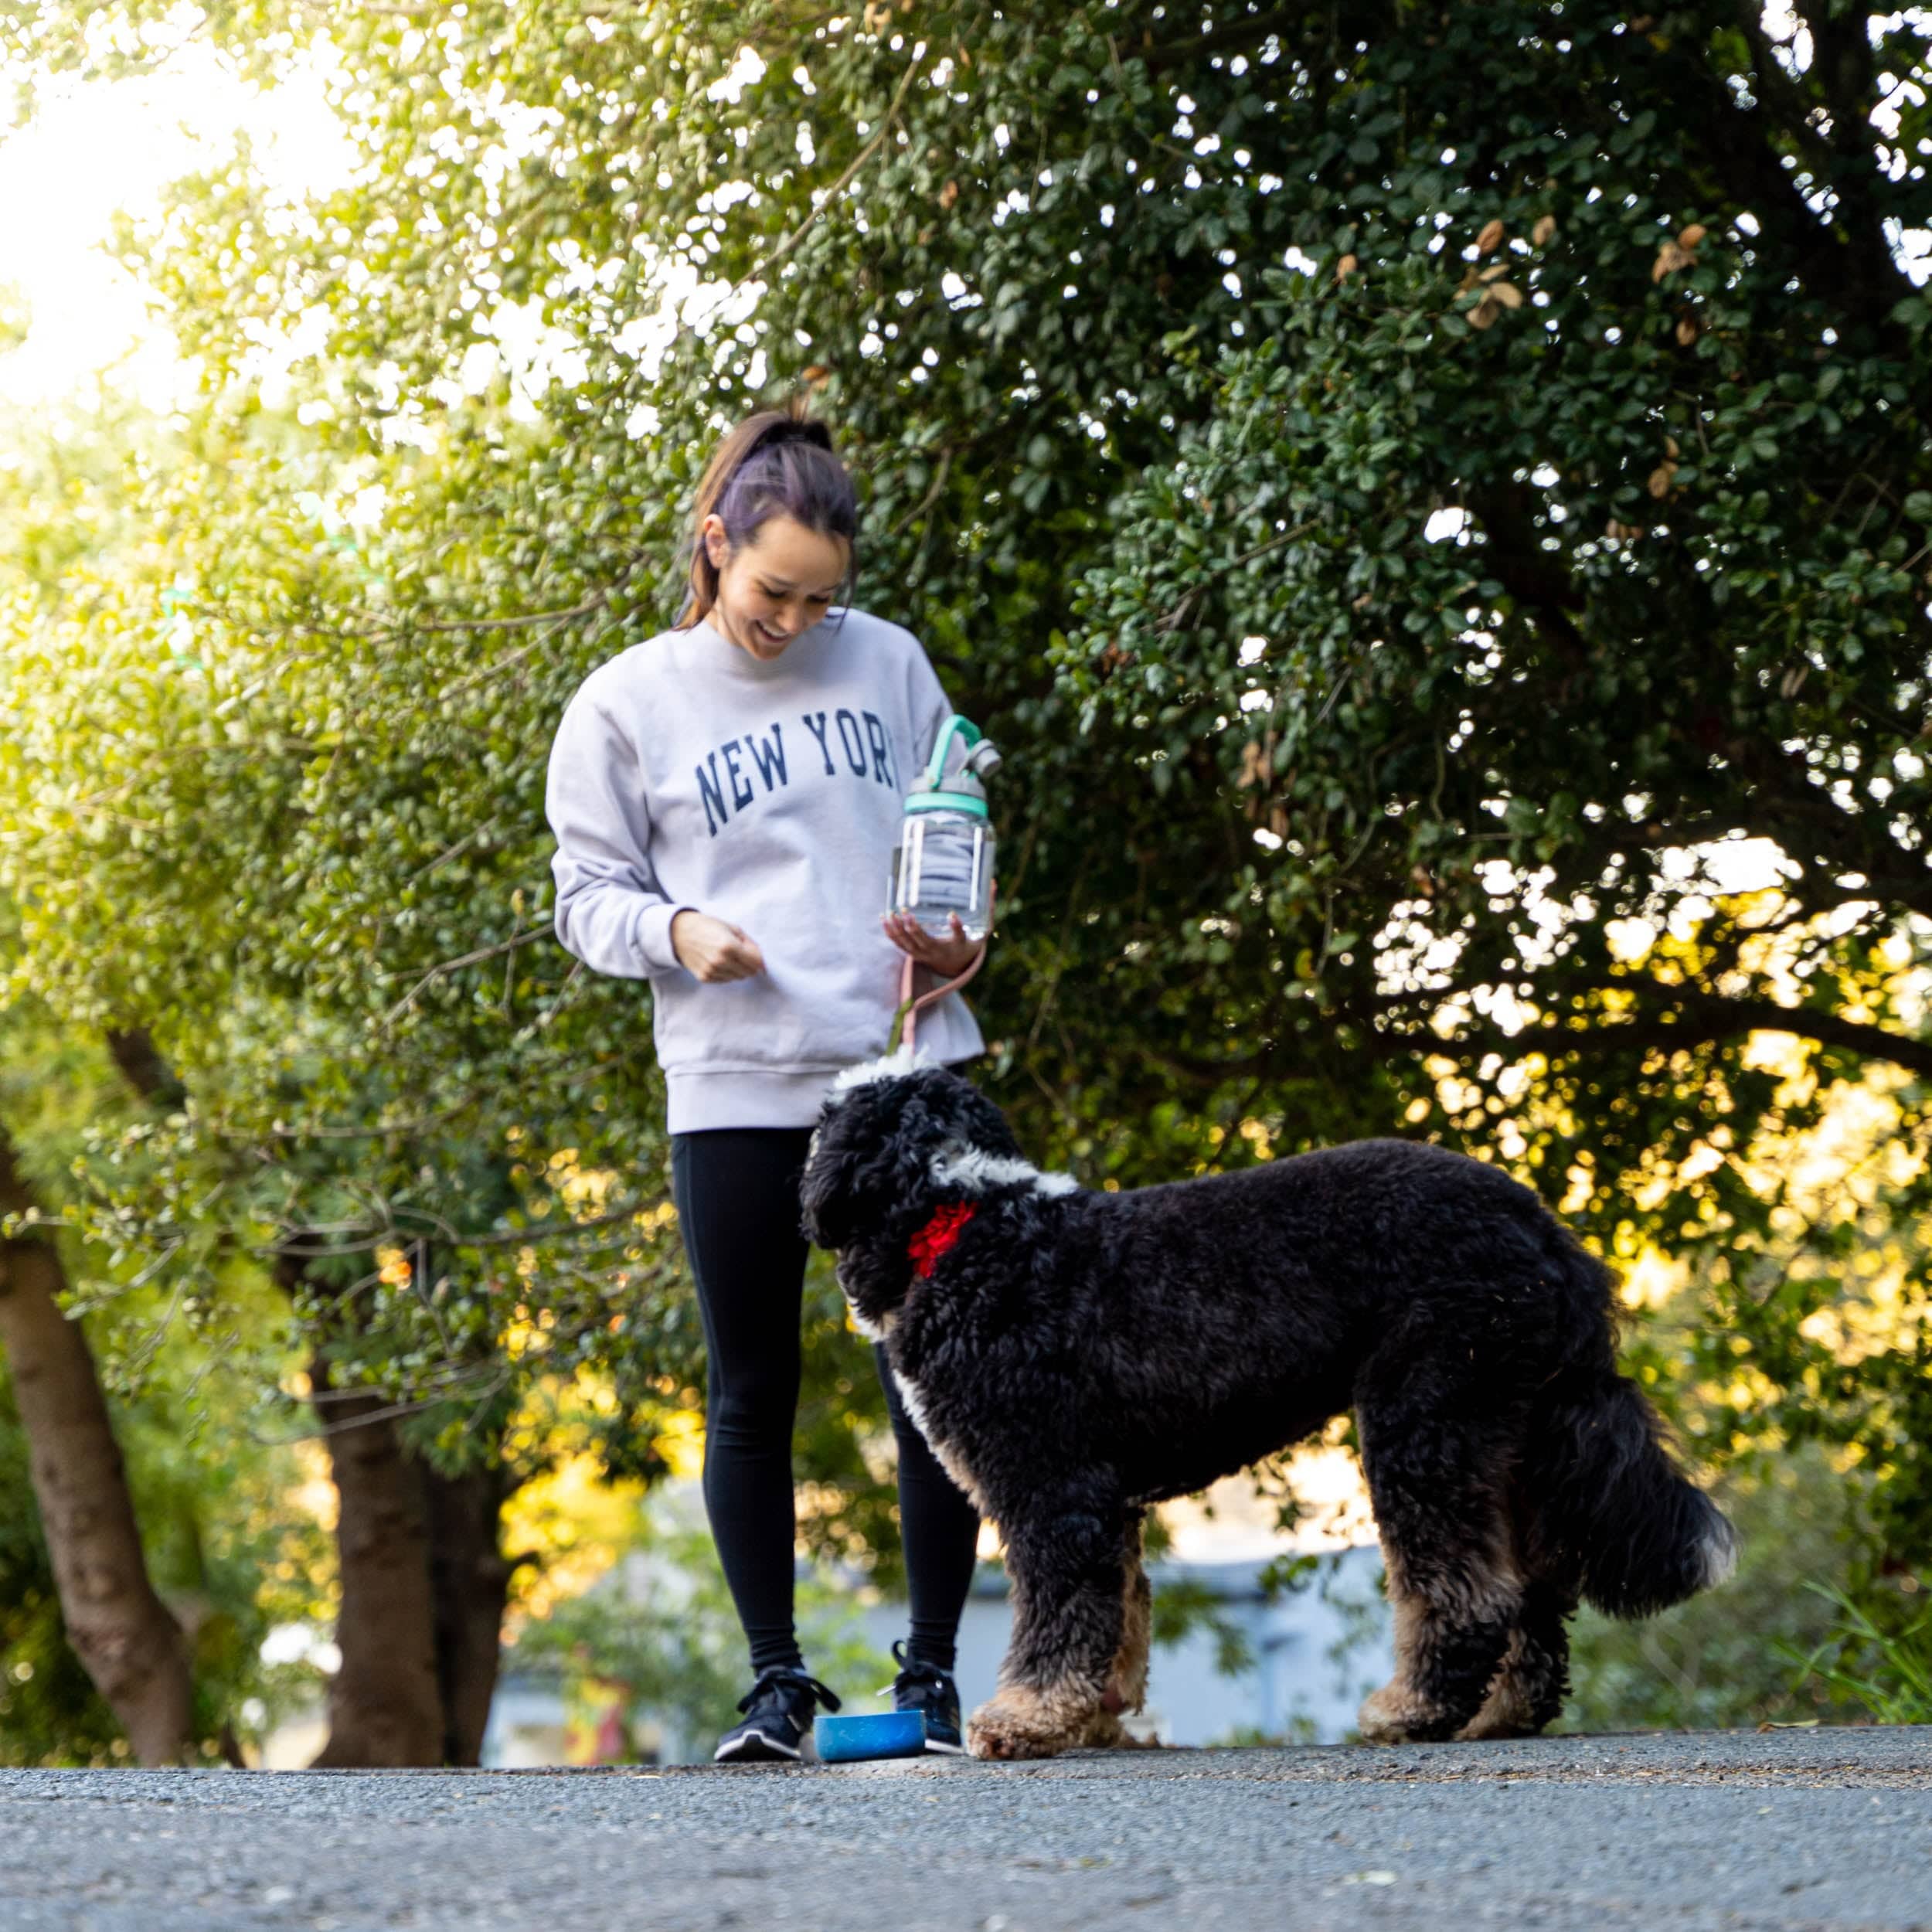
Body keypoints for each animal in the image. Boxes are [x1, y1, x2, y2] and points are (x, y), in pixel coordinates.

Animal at [800, 1059, 1739, 1770]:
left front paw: (1027, 1718)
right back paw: (1498, 1715)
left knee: (1464, 1592)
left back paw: (1412, 1711)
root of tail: (1543, 1230)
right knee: (1530, 1598)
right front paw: (1099, 1719)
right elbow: (1119, 1620)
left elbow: (1060, 1619)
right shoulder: (1106, 1503)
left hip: (1423, 1413)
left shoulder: (1050, 1492)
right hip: (1501, 1434)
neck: (967, 1226)